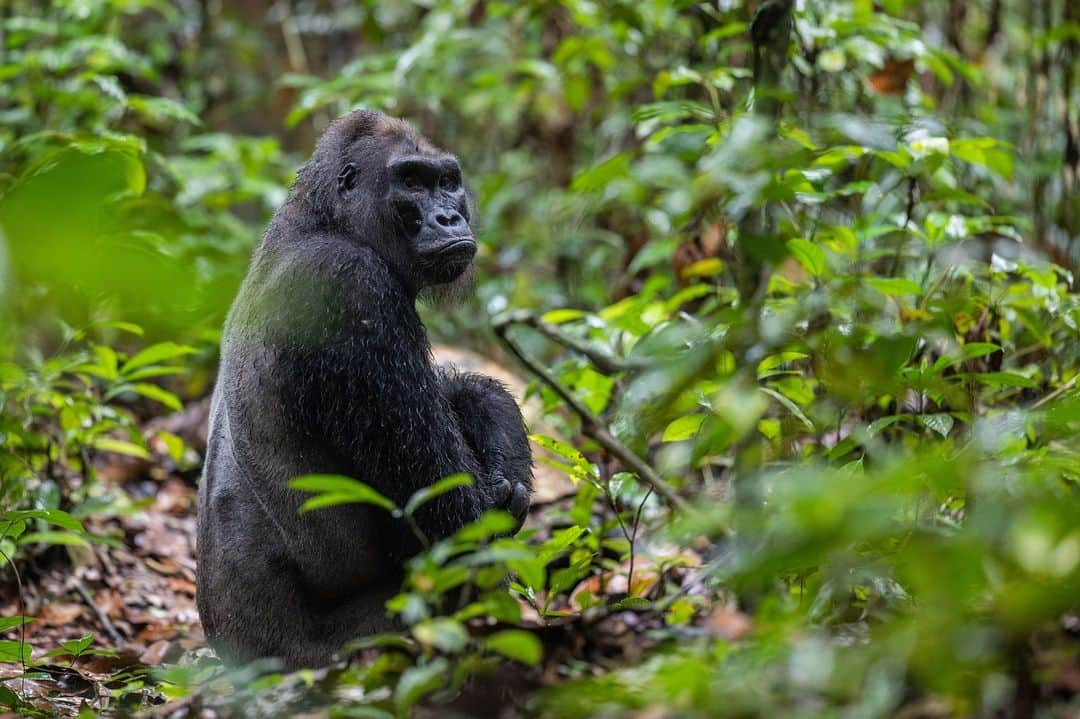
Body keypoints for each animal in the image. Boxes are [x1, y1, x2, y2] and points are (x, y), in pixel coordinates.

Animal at [196, 110, 533, 665]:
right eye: (412, 182)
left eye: (447, 181)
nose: (449, 218)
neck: (325, 220)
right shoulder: (350, 289)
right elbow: (453, 518)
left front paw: (494, 417)